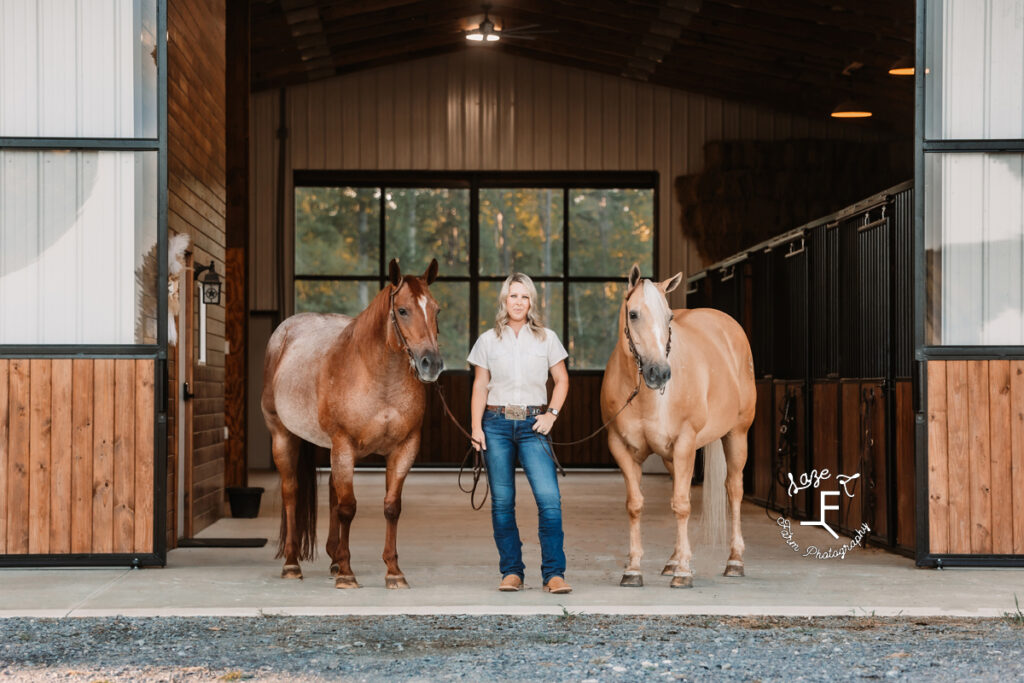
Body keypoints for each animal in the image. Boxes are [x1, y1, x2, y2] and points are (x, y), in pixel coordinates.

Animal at [260, 258, 440, 589]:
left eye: (436, 310)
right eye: (403, 310)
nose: (430, 364)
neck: (380, 378)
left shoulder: (404, 448)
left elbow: (391, 507)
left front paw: (394, 572)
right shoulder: (344, 445)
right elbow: (347, 507)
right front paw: (347, 572)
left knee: (333, 491)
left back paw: (332, 558)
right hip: (284, 436)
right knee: (291, 493)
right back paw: (292, 563)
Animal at [598, 264, 753, 589]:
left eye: (669, 317)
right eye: (633, 314)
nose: (659, 373)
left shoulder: (684, 443)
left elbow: (682, 504)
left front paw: (683, 573)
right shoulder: (621, 448)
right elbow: (636, 504)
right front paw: (634, 569)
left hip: (736, 435)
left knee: (733, 489)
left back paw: (734, 561)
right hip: (672, 456)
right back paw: (673, 560)